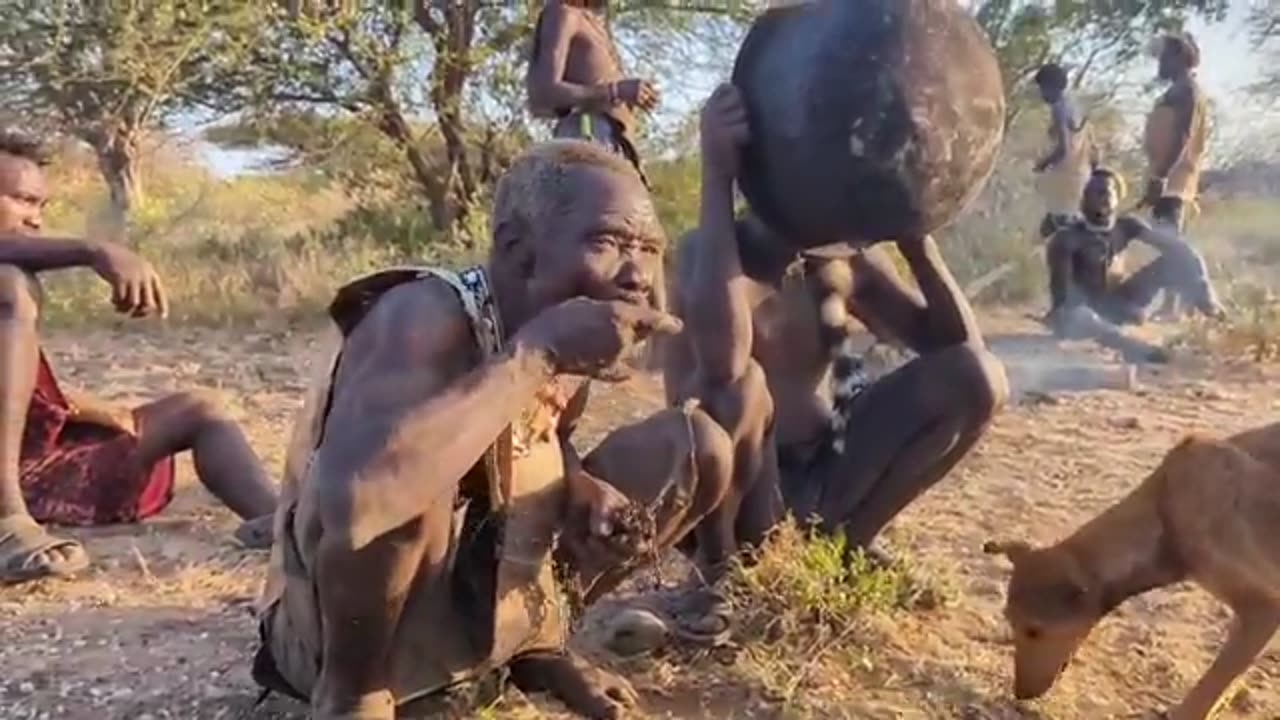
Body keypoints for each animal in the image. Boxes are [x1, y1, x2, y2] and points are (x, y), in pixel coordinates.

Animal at [988, 420, 1280, 717]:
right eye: (1008, 619)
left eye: (1034, 631)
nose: (1020, 694)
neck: (1165, 509)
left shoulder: (1264, 610)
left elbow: (1205, 694)